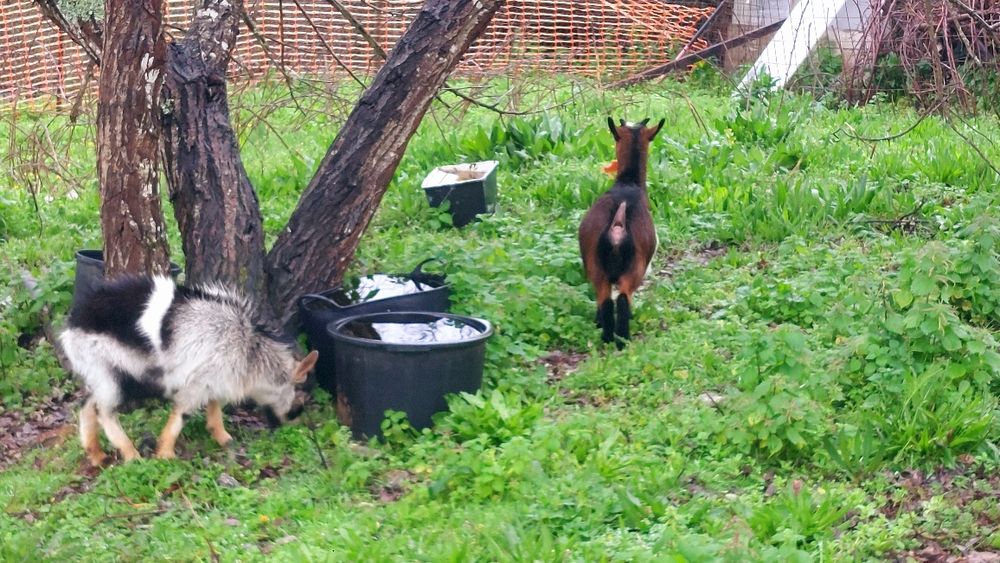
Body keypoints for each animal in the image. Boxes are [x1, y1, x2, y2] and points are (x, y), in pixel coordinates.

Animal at [59, 275, 318, 465]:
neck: (248, 348)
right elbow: (182, 415)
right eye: (299, 399)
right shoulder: (195, 385)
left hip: (100, 375)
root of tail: (73, 326)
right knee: (103, 411)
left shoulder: (213, 378)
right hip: (112, 376)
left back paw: (96, 454)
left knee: (87, 406)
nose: (289, 425)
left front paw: (223, 438)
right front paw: (165, 453)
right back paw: (131, 454)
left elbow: (215, 406)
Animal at [578, 117, 664, 348]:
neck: (628, 183)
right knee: (622, 299)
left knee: (606, 301)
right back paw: (622, 339)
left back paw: (607, 338)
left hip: (597, 268)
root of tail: (617, 225)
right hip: (634, 269)